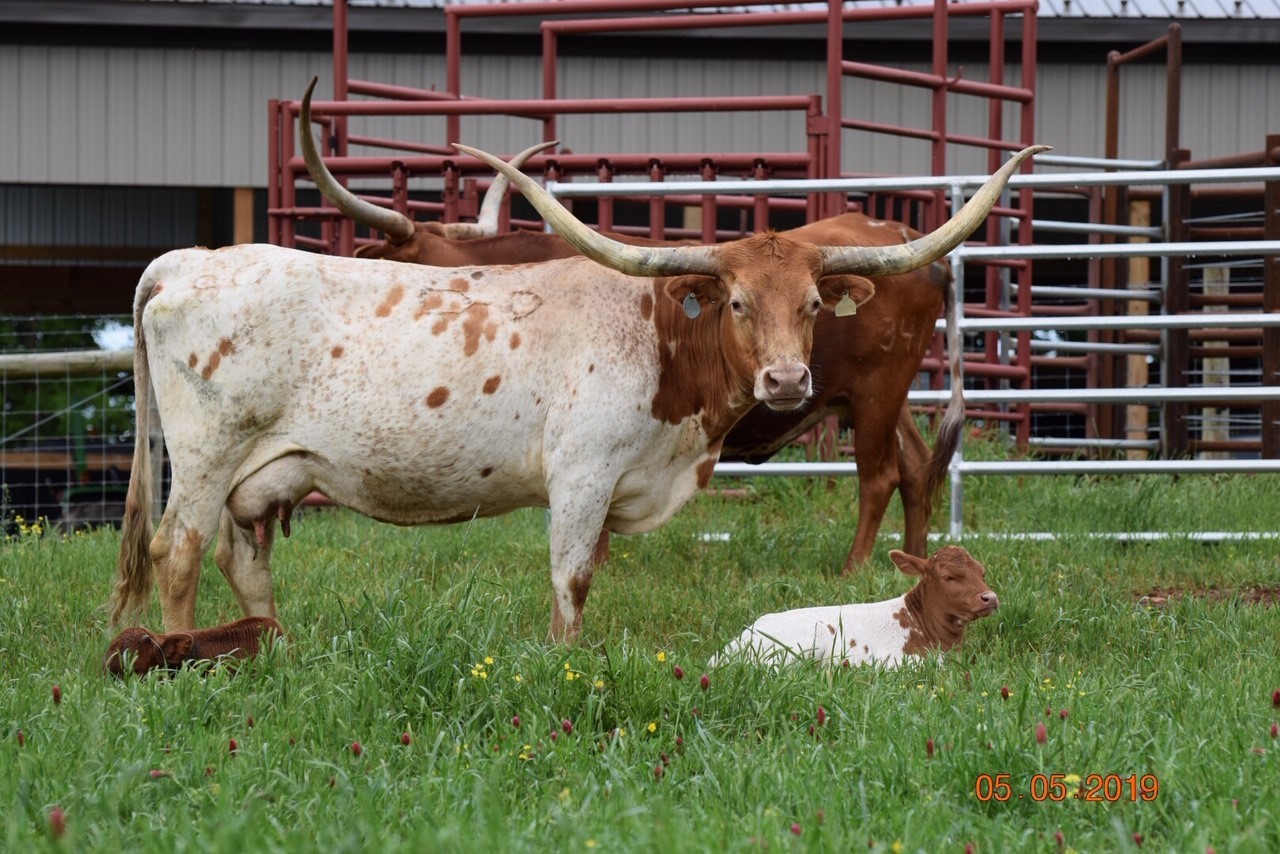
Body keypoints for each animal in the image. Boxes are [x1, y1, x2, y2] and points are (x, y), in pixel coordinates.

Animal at [108, 139, 1042, 642]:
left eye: (813, 304)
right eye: (738, 301)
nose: (786, 379)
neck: (662, 338)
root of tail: (184, 263)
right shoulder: (583, 476)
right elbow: (572, 579)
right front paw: (564, 657)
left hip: (258, 473)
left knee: (240, 556)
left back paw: (268, 643)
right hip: (204, 456)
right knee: (177, 549)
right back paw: (184, 651)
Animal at [299, 80, 972, 572]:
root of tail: (905, 236)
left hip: (875, 393)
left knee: (879, 476)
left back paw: (855, 569)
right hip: (883, 395)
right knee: (918, 468)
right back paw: (914, 564)